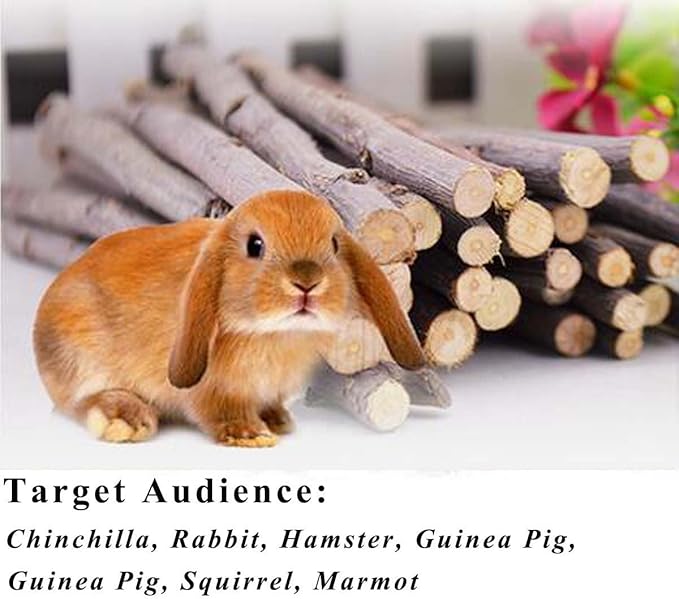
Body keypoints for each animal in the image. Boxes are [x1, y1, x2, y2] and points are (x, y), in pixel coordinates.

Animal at [33, 189, 425, 447]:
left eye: (334, 244)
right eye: (255, 245)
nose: (307, 281)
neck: (275, 334)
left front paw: (278, 421)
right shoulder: (214, 391)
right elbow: (220, 411)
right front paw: (252, 436)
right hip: (81, 357)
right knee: (80, 401)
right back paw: (126, 420)